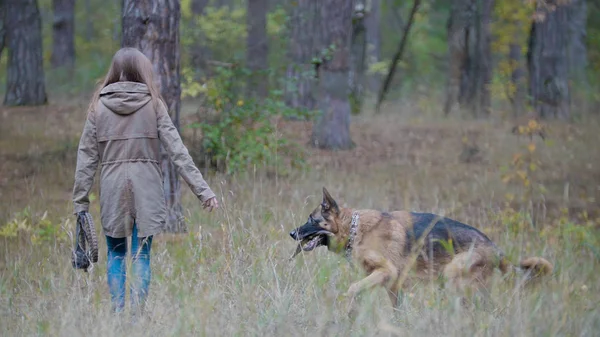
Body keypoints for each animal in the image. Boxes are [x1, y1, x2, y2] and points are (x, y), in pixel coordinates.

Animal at [288, 188, 552, 312]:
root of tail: (496, 249)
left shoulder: (386, 273)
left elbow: (352, 289)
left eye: (311, 219)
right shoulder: (393, 287)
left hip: (453, 277)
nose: (291, 233)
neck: (355, 230)